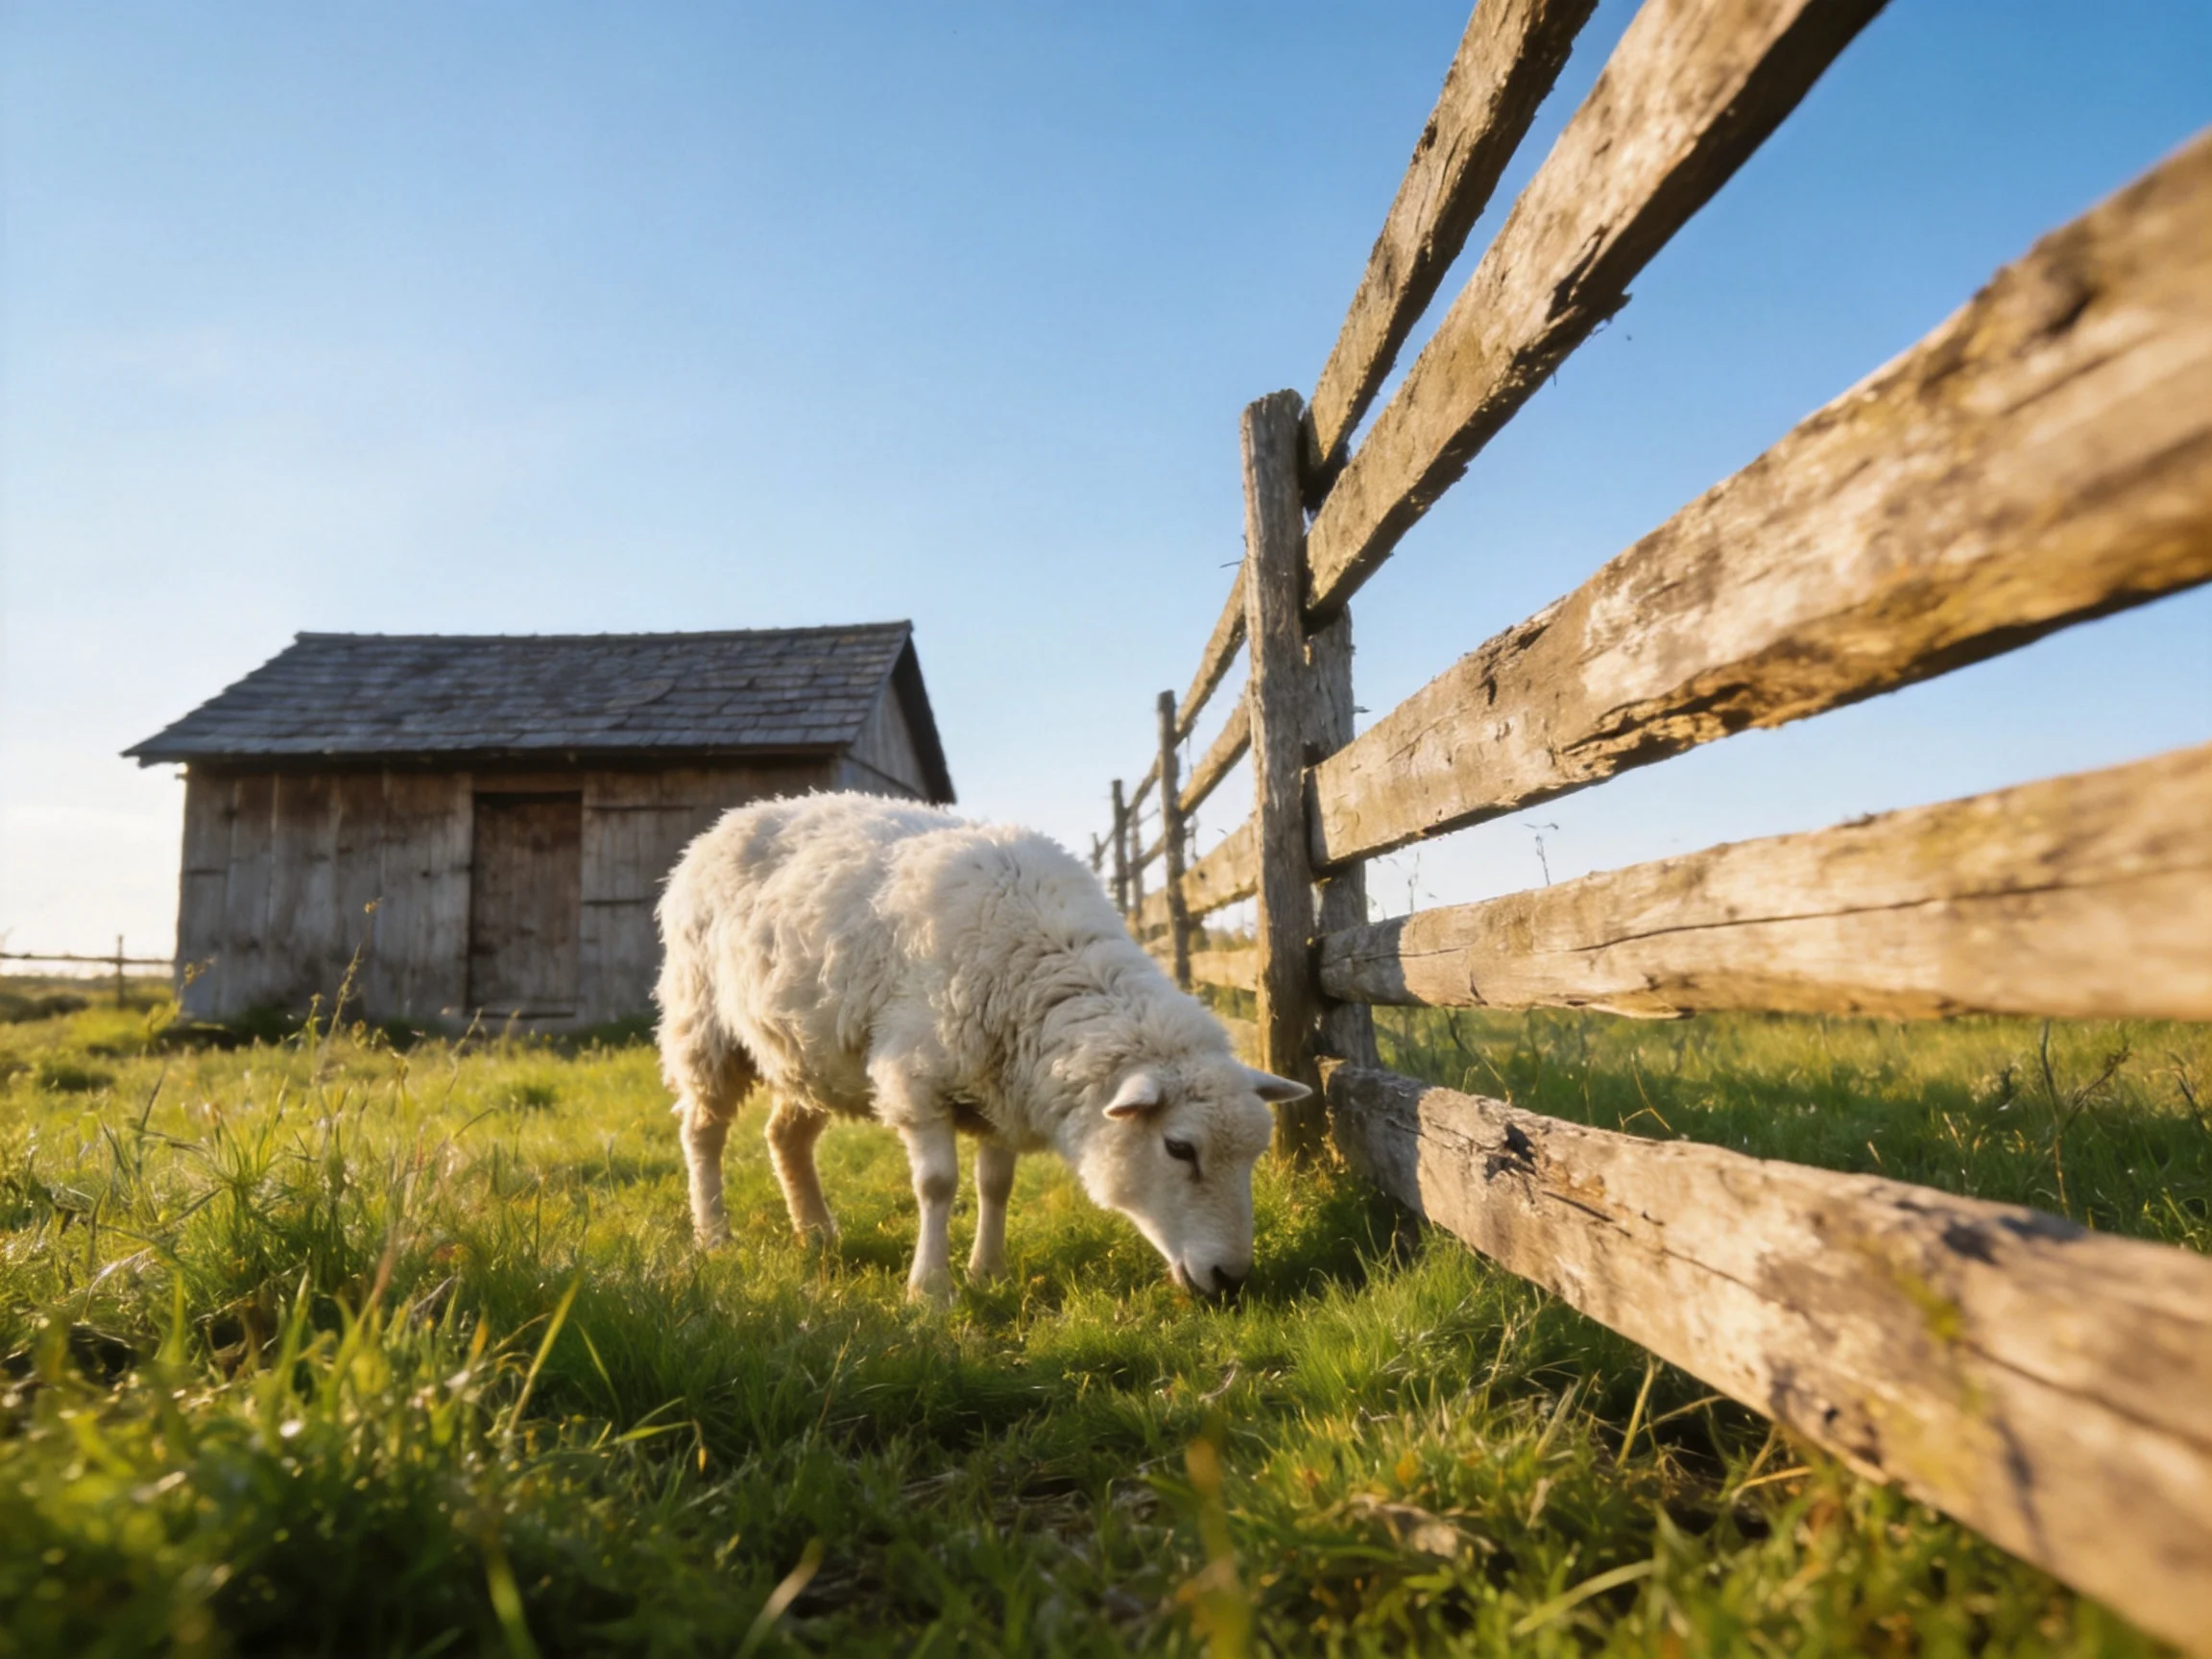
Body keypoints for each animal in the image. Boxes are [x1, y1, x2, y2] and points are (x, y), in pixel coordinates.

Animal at [654, 791, 1309, 1302]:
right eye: (1178, 1148)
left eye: (1254, 1155)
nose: (1230, 1278)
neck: (1045, 965)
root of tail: (731, 818)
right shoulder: (916, 1079)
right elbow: (938, 1184)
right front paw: (929, 1290)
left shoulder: (1002, 1085)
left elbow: (996, 1184)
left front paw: (988, 1273)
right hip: (702, 1021)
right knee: (703, 1133)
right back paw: (714, 1235)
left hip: (810, 1050)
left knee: (784, 1136)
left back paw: (817, 1233)